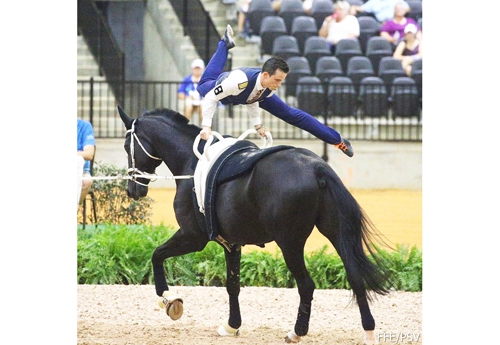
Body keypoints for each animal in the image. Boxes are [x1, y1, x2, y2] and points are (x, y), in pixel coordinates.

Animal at [117, 105, 390, 344]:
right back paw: (368, 332)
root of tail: (317, 168)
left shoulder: (193, 237)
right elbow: (232, 285)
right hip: (336, 232)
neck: (191, 163)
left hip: (289, 243)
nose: (132, 190)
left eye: (126, 146)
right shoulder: (231, 244)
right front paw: (231, 326)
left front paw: (168, 298)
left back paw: (296, 332)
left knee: (306, 285)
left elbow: (156, 255)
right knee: (355, 276)